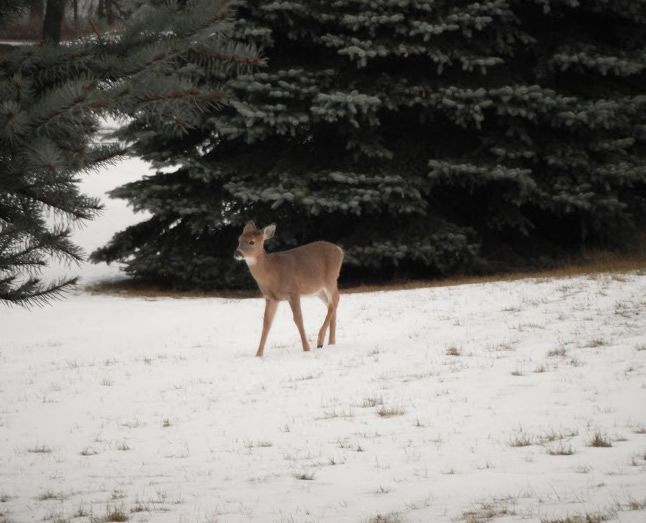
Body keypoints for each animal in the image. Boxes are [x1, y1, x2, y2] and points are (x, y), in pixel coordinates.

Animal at [234, 221, 344, 357]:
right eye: (239, 239)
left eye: (251, 242)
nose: (237, 253)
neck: (271, 271)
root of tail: (339, 250)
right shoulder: (271, 298)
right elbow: (266, 323)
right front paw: (258, 354)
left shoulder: (293, 291)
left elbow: (298, 319)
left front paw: (306, 348)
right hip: (318, 290)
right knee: (331, 303)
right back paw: (331, 342)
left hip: (330, 278)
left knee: (335, 299)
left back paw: (320, 341)